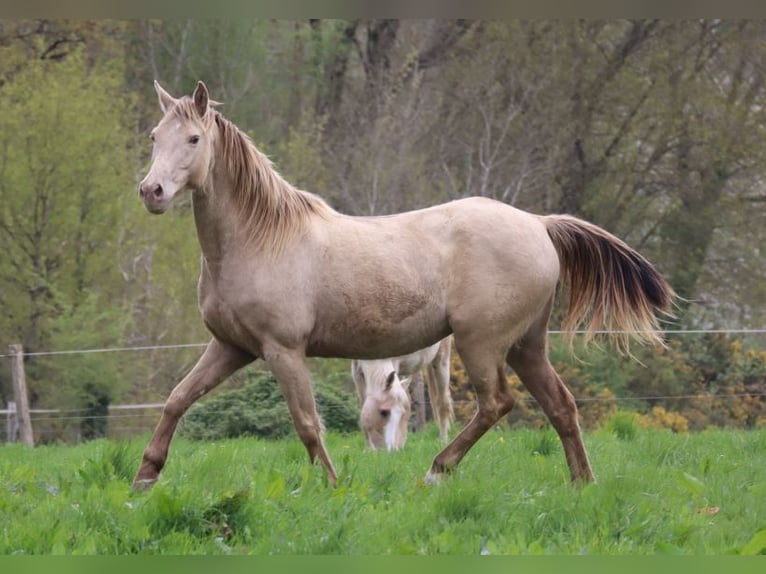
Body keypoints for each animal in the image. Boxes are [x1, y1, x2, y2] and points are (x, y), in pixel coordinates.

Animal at [133, 80, 675, 491]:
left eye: (194, 139)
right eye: (156, 135)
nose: (151, 191)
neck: (261, 238)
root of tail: (539, 224)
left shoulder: (282, 350)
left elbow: (307, 424)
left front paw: (331, 486)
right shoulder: (231, 347)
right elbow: (177, 399)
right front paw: (145, 478)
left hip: (481, 343)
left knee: (496, 403)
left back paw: (436, 471)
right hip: (527, 344)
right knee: (560, 406)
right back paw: (582, 484)